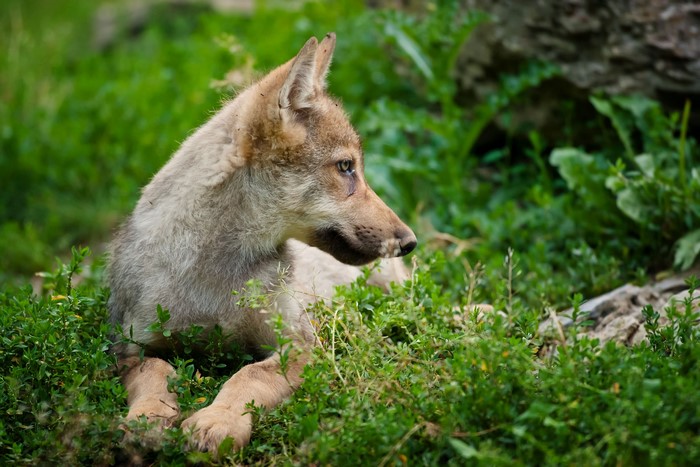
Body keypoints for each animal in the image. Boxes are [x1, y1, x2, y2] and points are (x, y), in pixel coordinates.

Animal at [108, 33, 416, 452]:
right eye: (346, 167)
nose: (409, 241)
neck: (214, 279)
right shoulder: (128, 345)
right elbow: (156, 372)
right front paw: (147, 417)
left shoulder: (300, 345)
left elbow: (247, 377)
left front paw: (217, 421)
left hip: (392, 293)